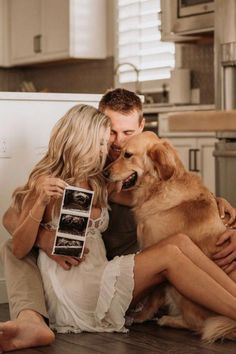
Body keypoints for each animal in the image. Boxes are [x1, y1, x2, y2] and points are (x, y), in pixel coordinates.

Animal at [105, 131, 236, 342]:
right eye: (118, 151)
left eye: (127, 155)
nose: (104, 173)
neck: (160, 185)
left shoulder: (158, 248)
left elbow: (153, 297)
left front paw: (141, 316)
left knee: (198, 324)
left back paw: (169, 320)